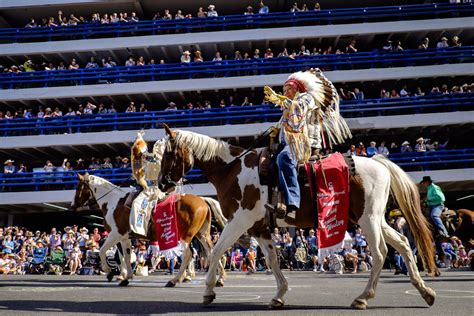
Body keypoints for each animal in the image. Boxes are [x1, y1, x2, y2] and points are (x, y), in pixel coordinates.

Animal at [69, 174, 227, 288]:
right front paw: (126, 277)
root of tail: (202, 200)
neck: (113, 203)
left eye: (78, 187)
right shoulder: (124, 237)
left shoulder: (115, 234)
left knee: (188, 254)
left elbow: (103, 251)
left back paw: (175, 280)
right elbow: (126, 256)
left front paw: (109, 273)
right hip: (202, 235)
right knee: (213, 252)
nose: (72, 206)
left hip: (186, 237)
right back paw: (219, 279)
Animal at [161, 126, 438, 308]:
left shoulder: (240, 220)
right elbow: (272, 259)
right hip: (375, 220)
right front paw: (279, 294)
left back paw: (363, 297)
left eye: (169, 154)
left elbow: (216, 251)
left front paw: (208, 290)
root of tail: (379, 163)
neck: (232, 170)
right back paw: (425, 291)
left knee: (380, 254)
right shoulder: (259, 227)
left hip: (368, 220)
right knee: (403, 244)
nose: (163, 183)